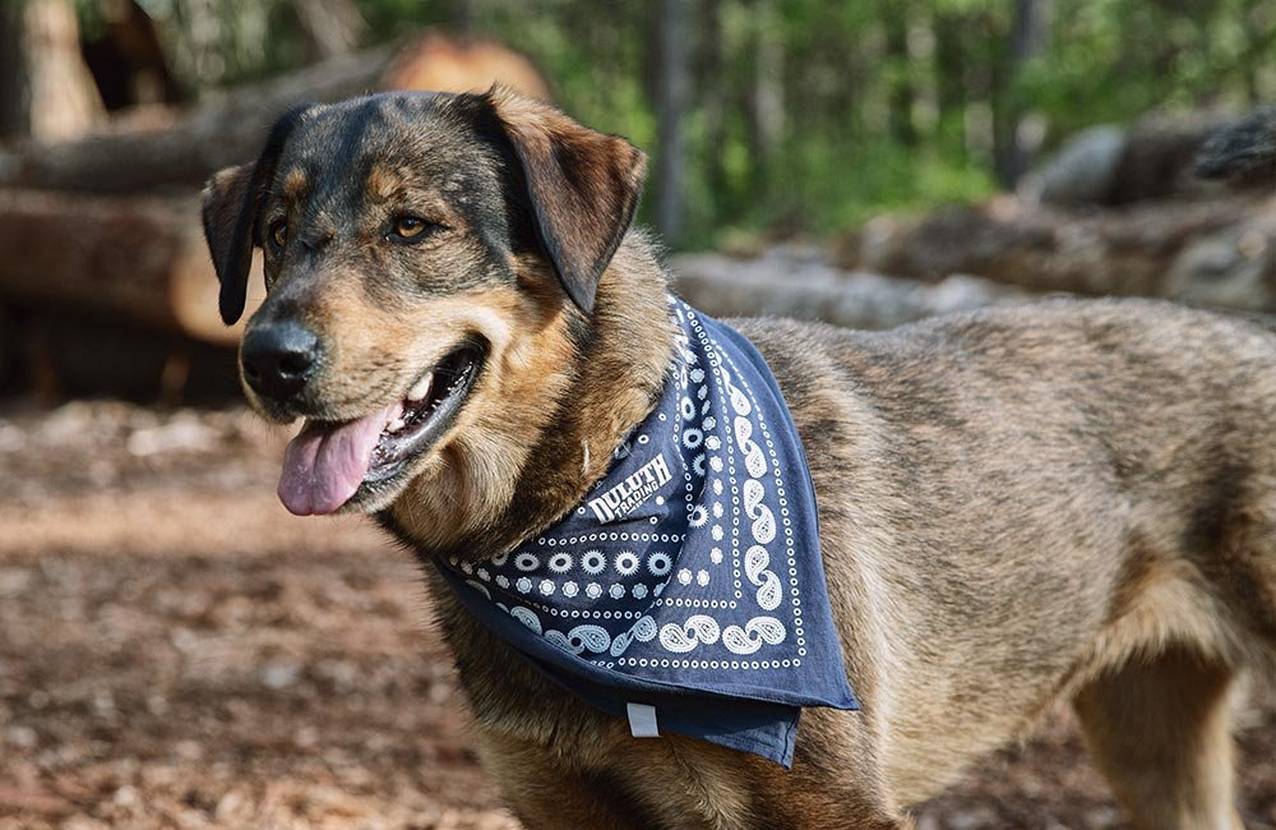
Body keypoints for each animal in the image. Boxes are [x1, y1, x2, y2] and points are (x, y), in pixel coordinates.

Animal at [201, 87, 1276, 822]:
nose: (268, 360)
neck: (598, 483)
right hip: (1153, 743)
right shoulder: (557, 800)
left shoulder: (833, 808)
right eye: (276, 234)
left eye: (414, 226)